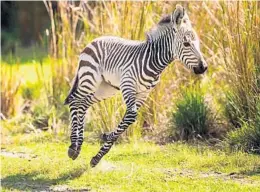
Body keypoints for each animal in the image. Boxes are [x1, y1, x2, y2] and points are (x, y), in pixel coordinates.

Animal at [64, 3, 207, 167]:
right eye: (186, 44)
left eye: (198, 43)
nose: (204, 67)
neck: (154, 62)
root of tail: (94, 40)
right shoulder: (128, 85)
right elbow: (131, 116)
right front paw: (105, 139)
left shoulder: (143, 93)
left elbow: (128, 119)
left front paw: (100, 151)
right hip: (89, 78)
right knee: (75, 101)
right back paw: (73, 146)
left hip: (106, 88)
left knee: (83, 103)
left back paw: (78, 145)